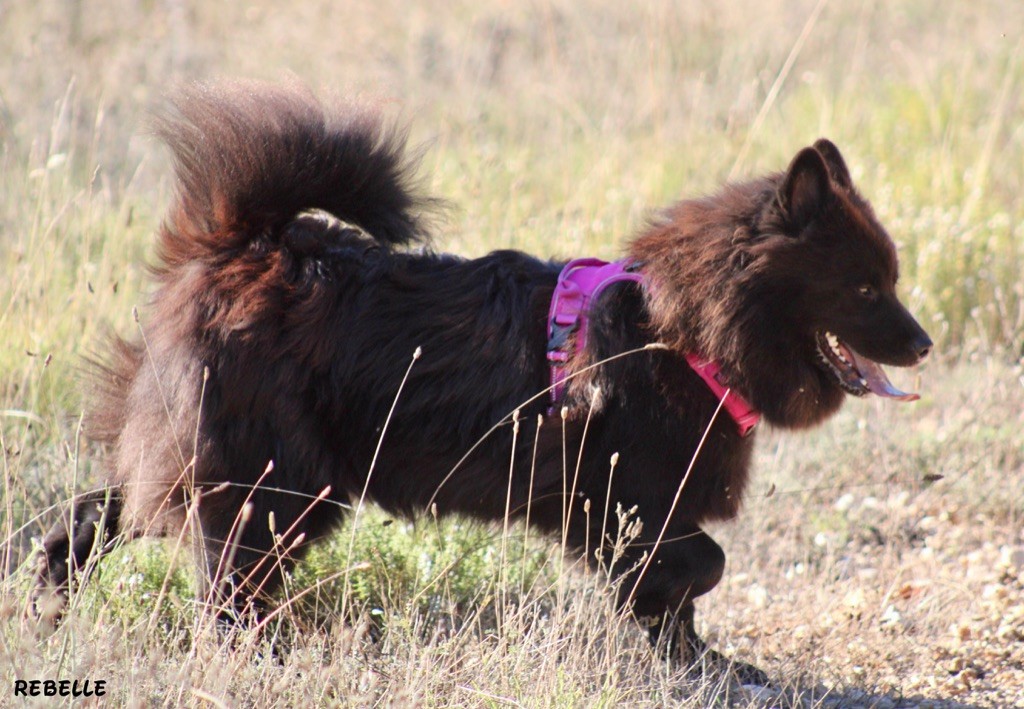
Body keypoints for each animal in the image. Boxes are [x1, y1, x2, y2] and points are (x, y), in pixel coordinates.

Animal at [34, 80, 929, 684]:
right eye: (864, 289)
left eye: (889, 279)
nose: (923, 344)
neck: (683, 334)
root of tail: (243, 245)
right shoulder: (619, 502)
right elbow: (697, 564)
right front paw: (680, 645)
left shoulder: (634, 508)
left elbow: (680, 596)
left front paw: (703, 665)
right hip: (276, 481)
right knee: (226, 585)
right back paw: (260, 660)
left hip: (210, 459)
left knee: (92, 515)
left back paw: (46, 603)